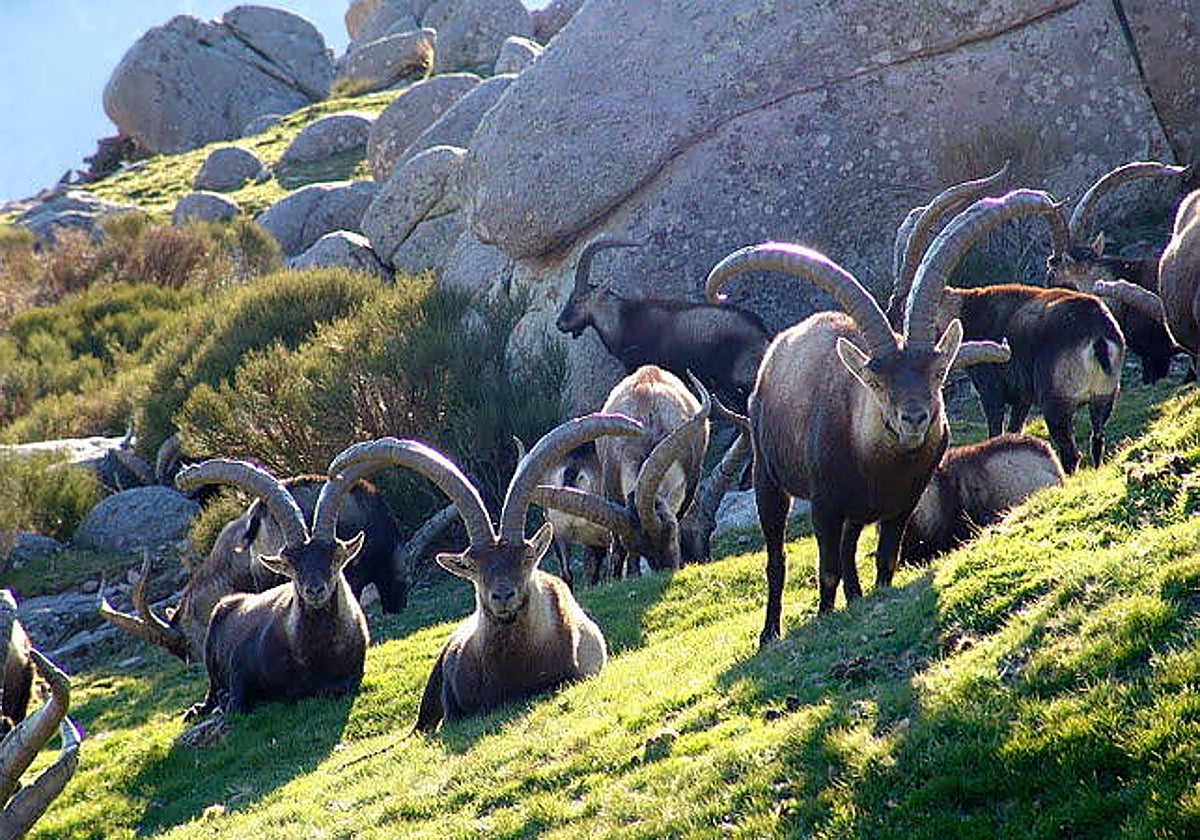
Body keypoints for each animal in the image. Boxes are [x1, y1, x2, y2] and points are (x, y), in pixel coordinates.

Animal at [175, 458, 371, 718]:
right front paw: (226, 703)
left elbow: (338, 687)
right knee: (212, 691)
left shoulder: (353, 673)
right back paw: (199, 709)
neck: (317, 655)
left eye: (336, 556)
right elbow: (237, 704)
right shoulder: (240, 666)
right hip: (210, 655)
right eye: (290, 563)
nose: (315, 591)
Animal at [555, 237, 770, 411]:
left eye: (577, 300)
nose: (560, 324)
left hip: (734, 381)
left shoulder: (637, 364)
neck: (621, 319)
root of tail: (762, 336)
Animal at [706, 217, 1012, 640]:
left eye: (937, 373)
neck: (881, 465)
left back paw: (854, 597)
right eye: (876, 382)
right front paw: (823, 616)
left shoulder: (904, 502)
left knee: (849, 548)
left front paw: (875, 594)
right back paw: (770, 632)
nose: (914, 418)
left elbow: (885, 559)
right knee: (777, 557)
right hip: (768, 476)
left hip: (857, 510)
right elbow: (827, 569)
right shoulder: (824, 505)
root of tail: (776, 350)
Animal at [888, 189, 1127, 474]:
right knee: (1097, 439)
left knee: (1071, 453)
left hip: (1056, 404)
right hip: (1105, 397)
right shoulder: (1022, 398)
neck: (965, 311)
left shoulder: (992, 389)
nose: (892, 325)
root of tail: (1098, 335)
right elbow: (1015, 429)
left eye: (902, 307)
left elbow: (995, 428)